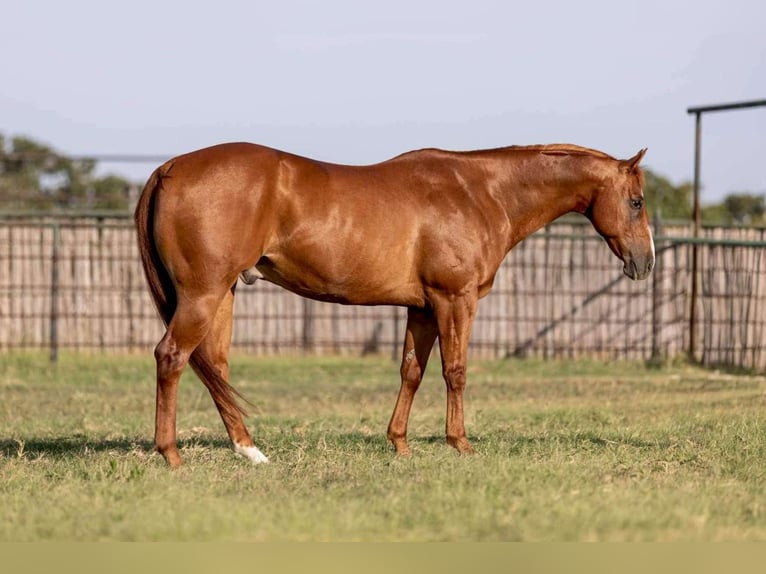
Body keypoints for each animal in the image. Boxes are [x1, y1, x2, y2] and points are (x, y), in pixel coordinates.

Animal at [134, 142, 654, 467]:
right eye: (636, 201)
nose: (645, 262)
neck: (480, 192)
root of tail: (170, 167)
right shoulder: (454, 299)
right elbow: (455, 371)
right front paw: (460, 444)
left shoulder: (422, 307)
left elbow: (411, 371)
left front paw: (400, 444)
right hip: (203, 294)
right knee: (172, 357)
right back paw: (171, 455)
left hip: (222, 295)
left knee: (215, 367)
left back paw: (250, 451)